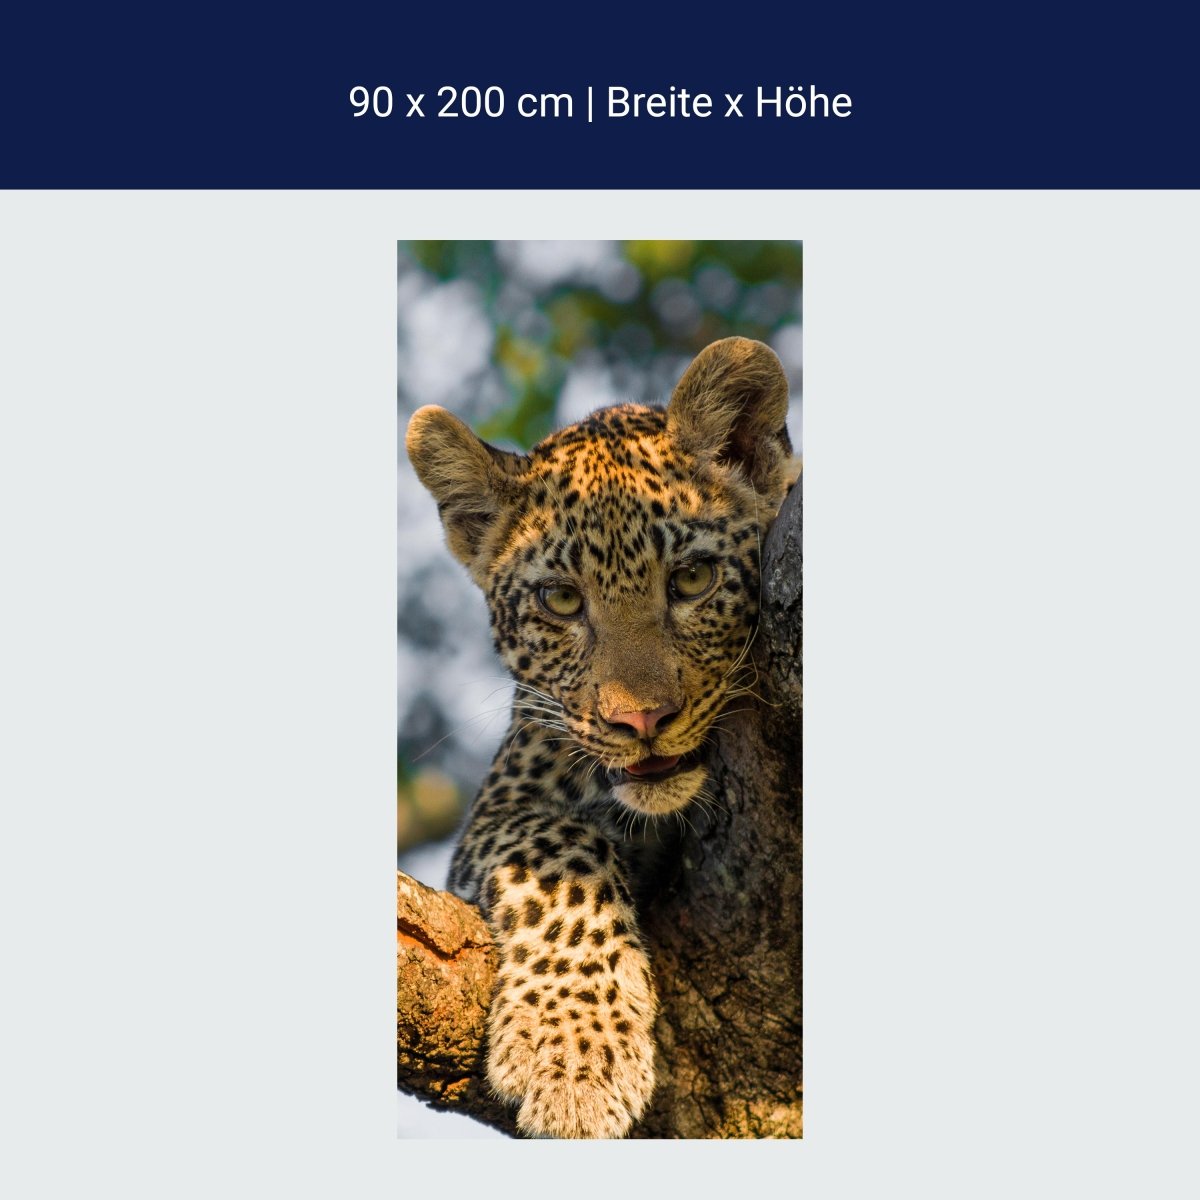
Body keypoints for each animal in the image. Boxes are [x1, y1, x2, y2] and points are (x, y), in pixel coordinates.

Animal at [405, 336, 795, 1138]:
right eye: (560, 600)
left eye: (693, 579)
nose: (640, 721)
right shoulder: (502, 803)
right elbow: (562, 852)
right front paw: (574, 1059)